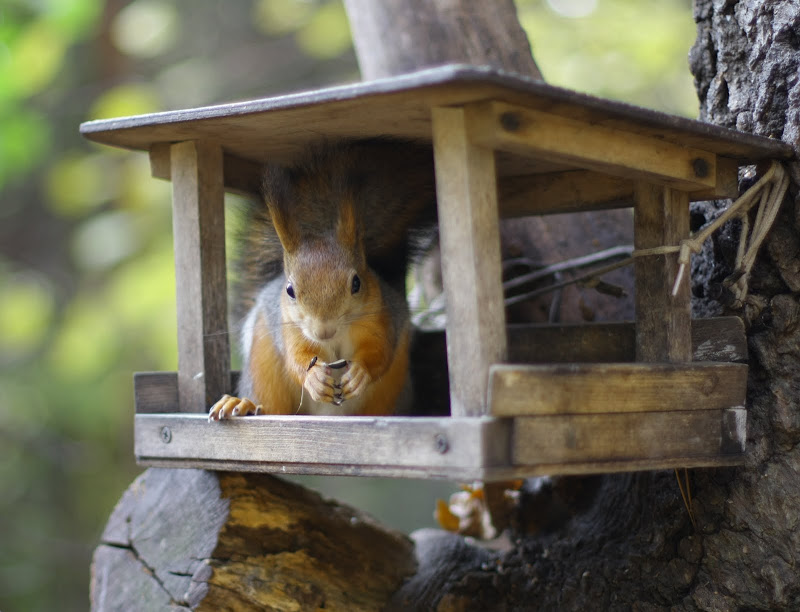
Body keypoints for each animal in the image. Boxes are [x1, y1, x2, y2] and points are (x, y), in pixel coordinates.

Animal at [211, 139, 438, 418]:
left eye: (356, 283)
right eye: (290, 290)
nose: (323, 331)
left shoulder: (381, 317)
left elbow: (380, 352)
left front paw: (360, 373)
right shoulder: (291, 328)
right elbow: (296, 359)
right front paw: (313, 379)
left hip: (391, 389)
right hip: (264, 366)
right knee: (270, 402)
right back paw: (242, 404)